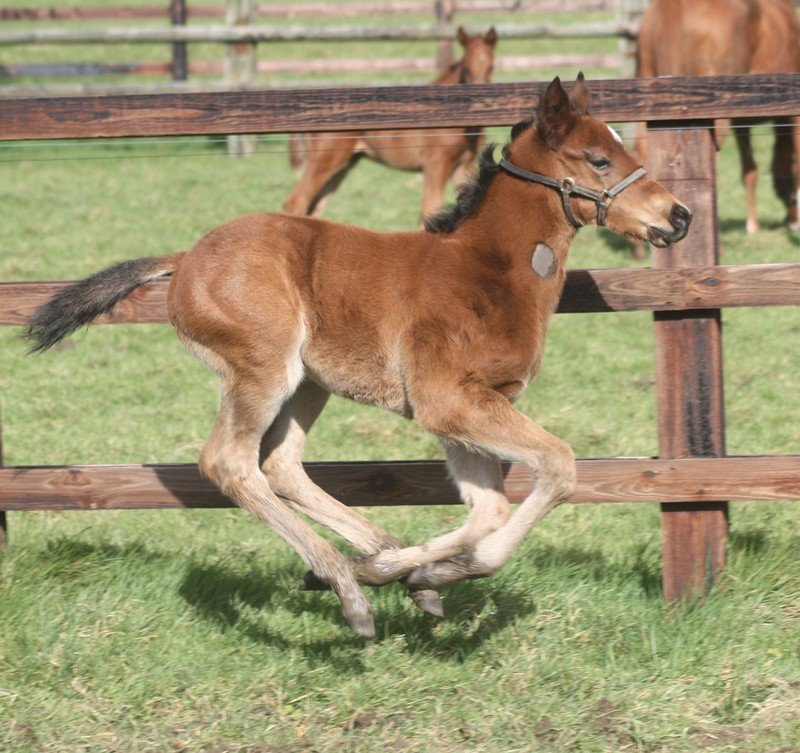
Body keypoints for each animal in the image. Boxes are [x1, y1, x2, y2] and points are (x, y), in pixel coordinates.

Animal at [26, 75, 691, 638]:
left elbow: (488, 508)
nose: (679, 216)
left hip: (307, 383)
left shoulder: (464, 411)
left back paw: (368, 559)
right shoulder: (448, 403)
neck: (488, 273)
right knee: (230, 463)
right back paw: (348, 588)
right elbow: (557, 467)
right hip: (262, 367)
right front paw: (412, 573)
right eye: (599, 159)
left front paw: (421, 575)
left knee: (281, 466)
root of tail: (186, 257)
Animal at [282, 26, 497, 222]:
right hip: (324, 160)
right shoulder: (435, 165)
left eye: (491, 67)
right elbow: (428, 211)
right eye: (465, 68)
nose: (479, 103)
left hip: (343, 165)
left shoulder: (464, 166)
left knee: (315, 207)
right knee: (296, 202)